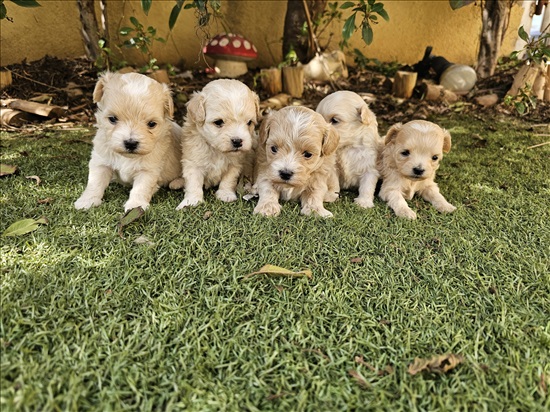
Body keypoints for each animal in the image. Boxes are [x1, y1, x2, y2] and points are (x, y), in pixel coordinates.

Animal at [75, 71, 185, 211]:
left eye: (151, 124)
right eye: (112, 119)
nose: (130, 143)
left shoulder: (148, 170)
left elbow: (140, 188)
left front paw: (135, 205)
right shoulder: (101, 161)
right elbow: (95, 182)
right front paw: (87, 201)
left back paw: (177, 182)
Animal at [178, 79, 262, 209]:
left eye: (249, 122)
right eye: (218, 122)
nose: (237, 141)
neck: (217, 149)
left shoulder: (235, 164)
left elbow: (228, 179)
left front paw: (225, 194)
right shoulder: (193, 162)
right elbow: (193, 183)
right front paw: (191, 201)